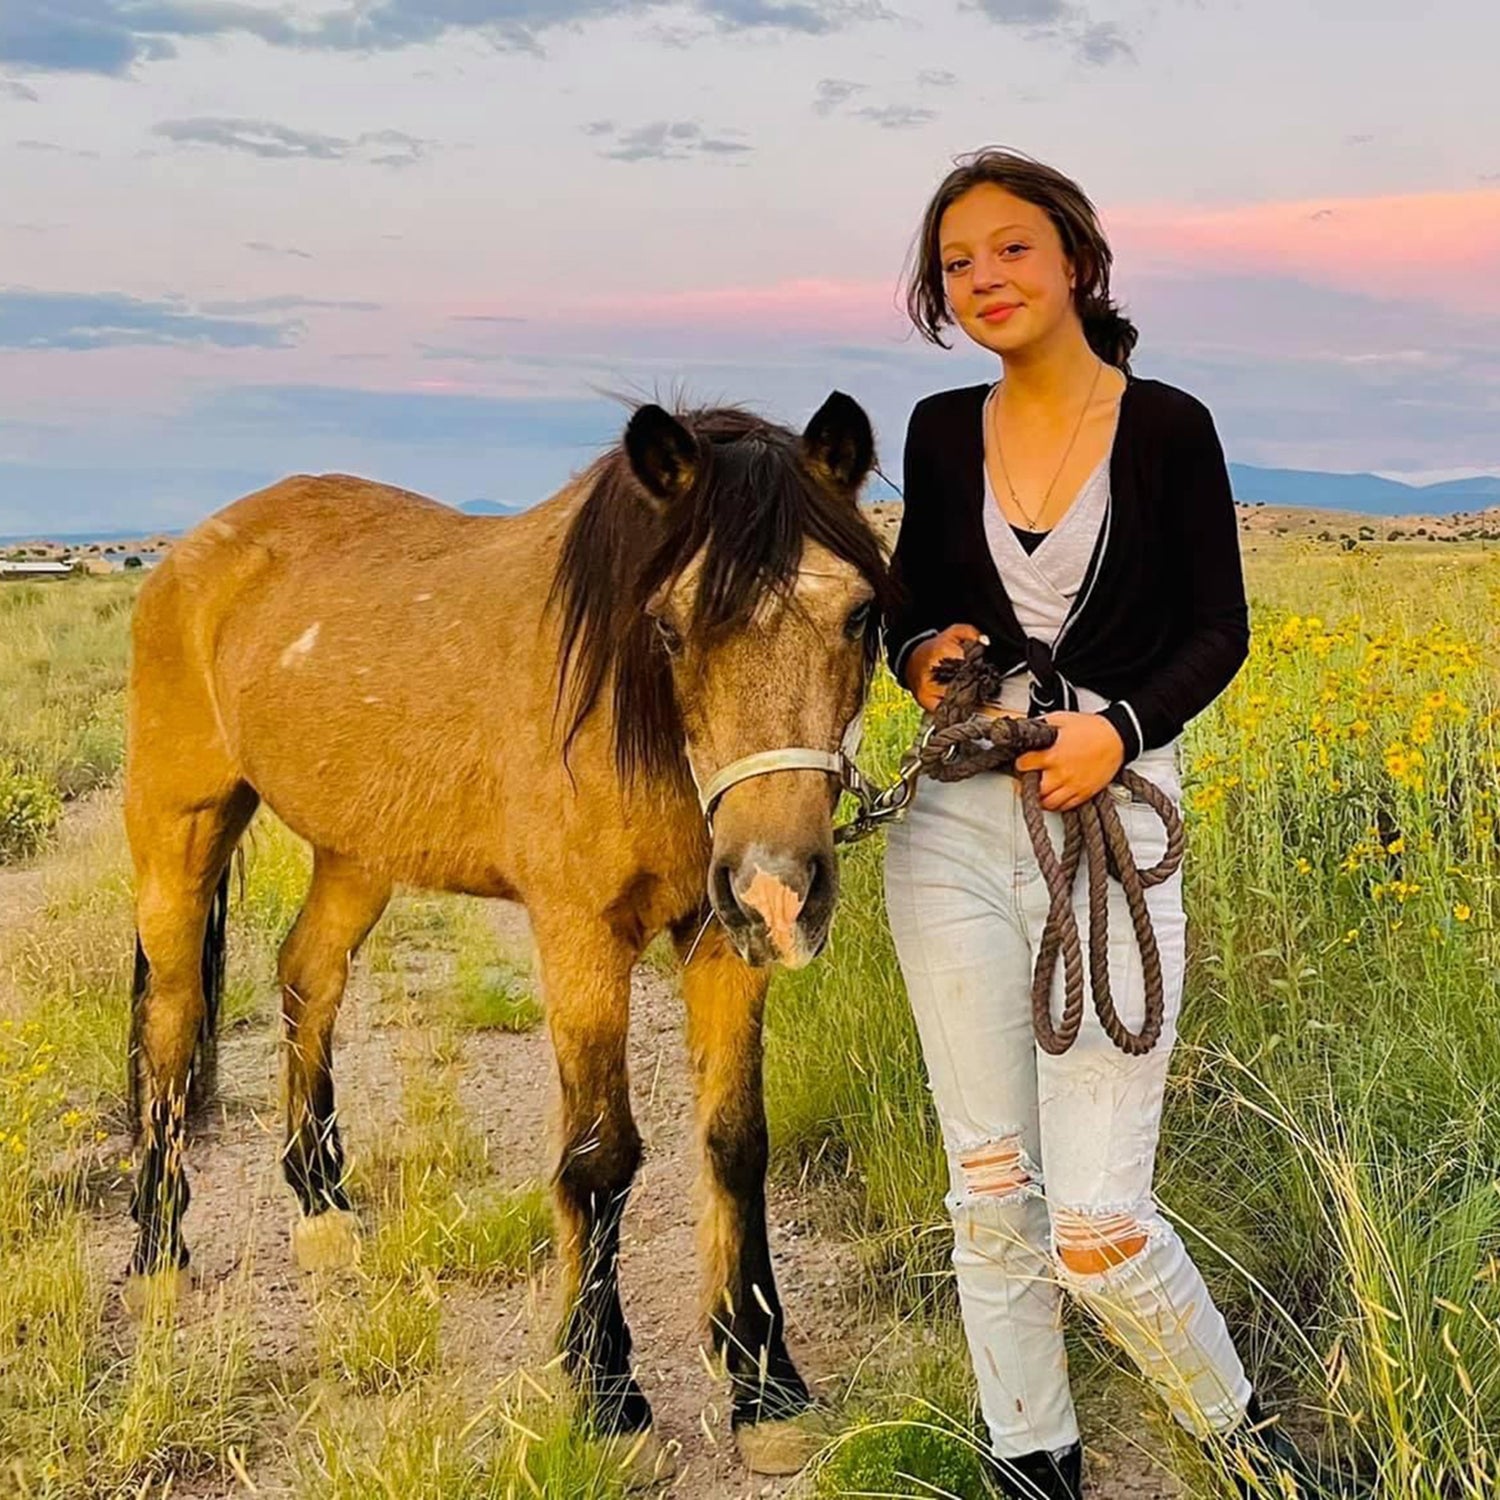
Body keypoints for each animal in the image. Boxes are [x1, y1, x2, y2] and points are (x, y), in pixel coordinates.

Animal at [123, 387, 888, 1476]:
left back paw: (320, 1209)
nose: (778, 892)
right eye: (668, 625)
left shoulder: (717, 940)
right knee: (174, 1023)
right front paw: (607, 1396)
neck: (629, 713)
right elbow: (601, 1160)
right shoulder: (582, 939)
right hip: (178, 827)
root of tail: (192, 554)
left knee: (308, 977)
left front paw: (764, 1387)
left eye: (858, 612)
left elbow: (736, 1144)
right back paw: (157, 1253)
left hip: (358, 852)